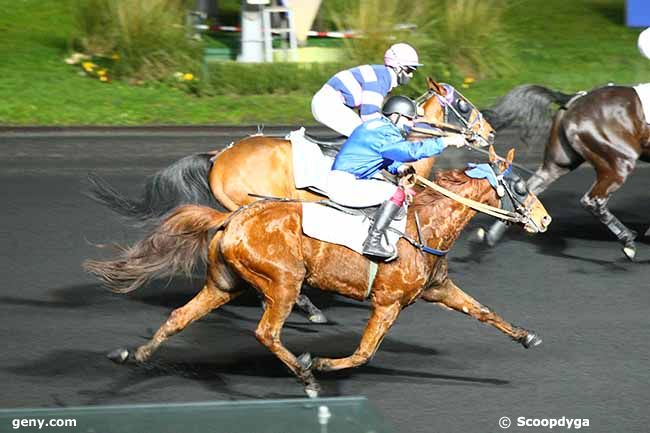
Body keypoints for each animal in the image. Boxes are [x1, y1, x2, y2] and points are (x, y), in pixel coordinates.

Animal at [83, 147, 548, 396]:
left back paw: (134, 355)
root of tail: (230, 219)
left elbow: (483, 311)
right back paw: (306, 375)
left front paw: (527, 336)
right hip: (282, 283)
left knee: (179, 316)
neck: (423, 224)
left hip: (222, 285)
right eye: (520, 187)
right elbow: (364, 352)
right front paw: (320, 363)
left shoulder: (438, 288)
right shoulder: (387, 303)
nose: (544, 220)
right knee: (266, 332)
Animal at [476, 85, 648, 260]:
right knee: (592, 200)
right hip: (619, 161)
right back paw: (628, 241)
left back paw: (492, 235)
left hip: (559, 162)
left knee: (529, 188)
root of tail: (575, 100)